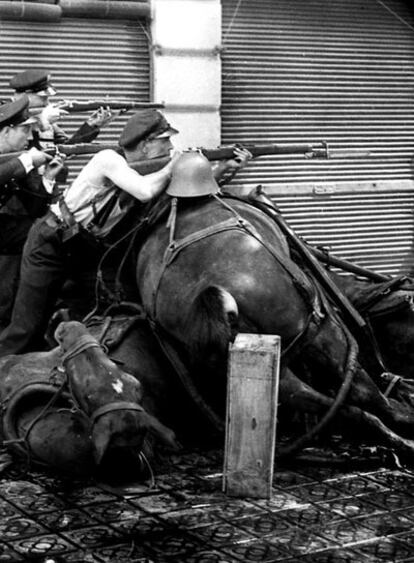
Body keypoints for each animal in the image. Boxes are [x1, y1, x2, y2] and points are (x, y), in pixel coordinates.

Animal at [135, 189, 414, 462]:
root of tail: (211, 290)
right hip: (318, 332)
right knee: (363, 392)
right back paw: (403, 424)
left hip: (271, 363)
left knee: (337, 406)